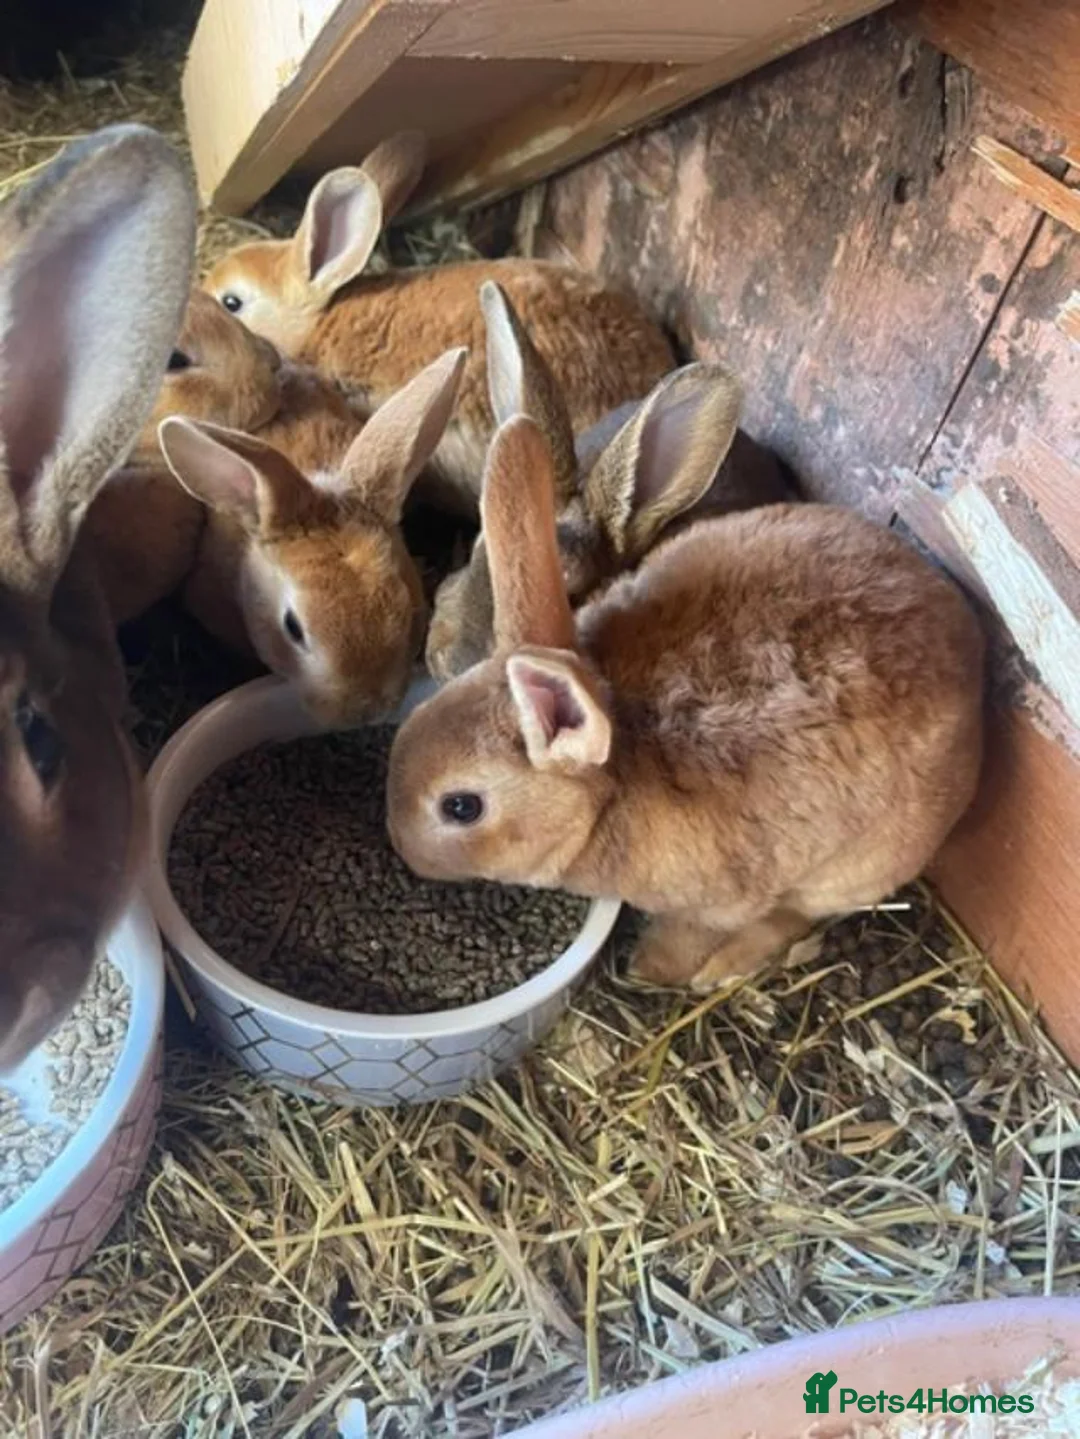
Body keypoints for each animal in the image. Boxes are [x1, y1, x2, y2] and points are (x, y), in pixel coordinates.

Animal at [387, 412, 985, 992]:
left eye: (460, 807)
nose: (402, 850)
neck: (612, 782)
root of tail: (970, 647)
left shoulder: (721, 901)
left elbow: (691, 934)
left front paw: (649, 970)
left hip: (854, 868)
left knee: (796, 915)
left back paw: (719, 970)